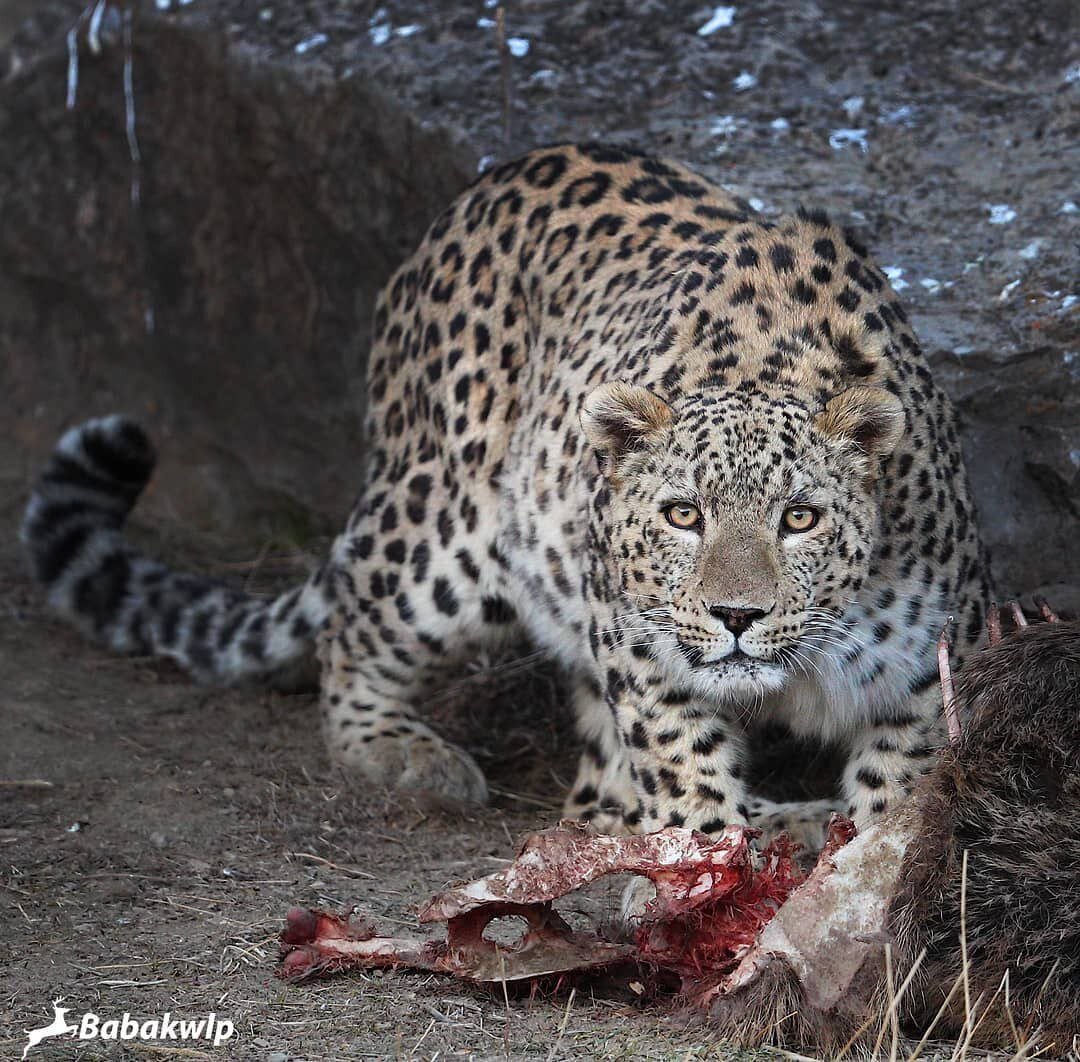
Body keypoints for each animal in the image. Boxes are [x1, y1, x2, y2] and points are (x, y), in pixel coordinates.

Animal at [21, 145, 989, 851]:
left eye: (800, 519)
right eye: (683, 514)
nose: (737, 616)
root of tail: (481, 187)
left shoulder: (930, 671)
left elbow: (901, 796)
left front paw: (861, 882)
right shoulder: (641, 647)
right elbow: (685, 771)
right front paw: (702, 875)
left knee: (592, 794)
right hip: (443, 535)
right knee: (353, 630)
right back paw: (405, 754)